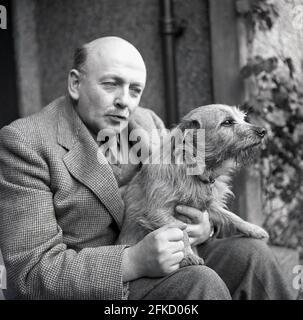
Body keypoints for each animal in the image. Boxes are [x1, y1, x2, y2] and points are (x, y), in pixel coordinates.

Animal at [117, 104, 270, 266]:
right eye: (227, 122)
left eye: (242, 118)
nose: (263, 131)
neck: (193, 170)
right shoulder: (158, 212)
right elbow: (181, 231)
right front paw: (189, 255)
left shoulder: (209, 207)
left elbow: (231, 216)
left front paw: (253, 229)